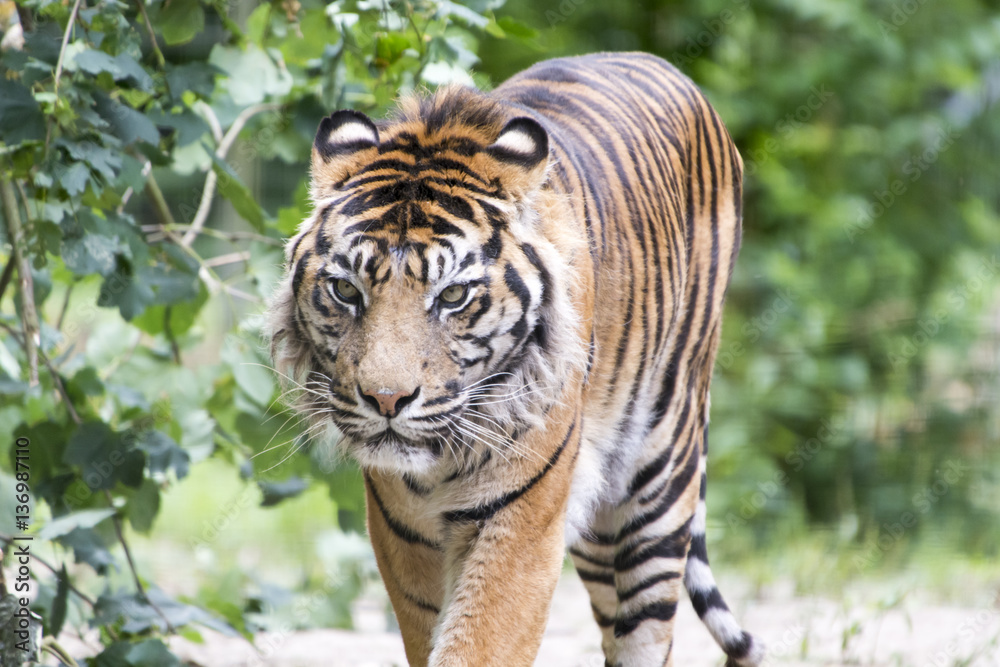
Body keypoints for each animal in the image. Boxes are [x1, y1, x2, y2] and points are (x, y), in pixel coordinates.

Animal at [267, 52, 764, 667]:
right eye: (345, 290)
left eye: (453, 295)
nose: (386, 399)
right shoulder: (401, 530)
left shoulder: (521, 517)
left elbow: (482, 641)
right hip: (599, 530)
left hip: (657, 473)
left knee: (648, 627)